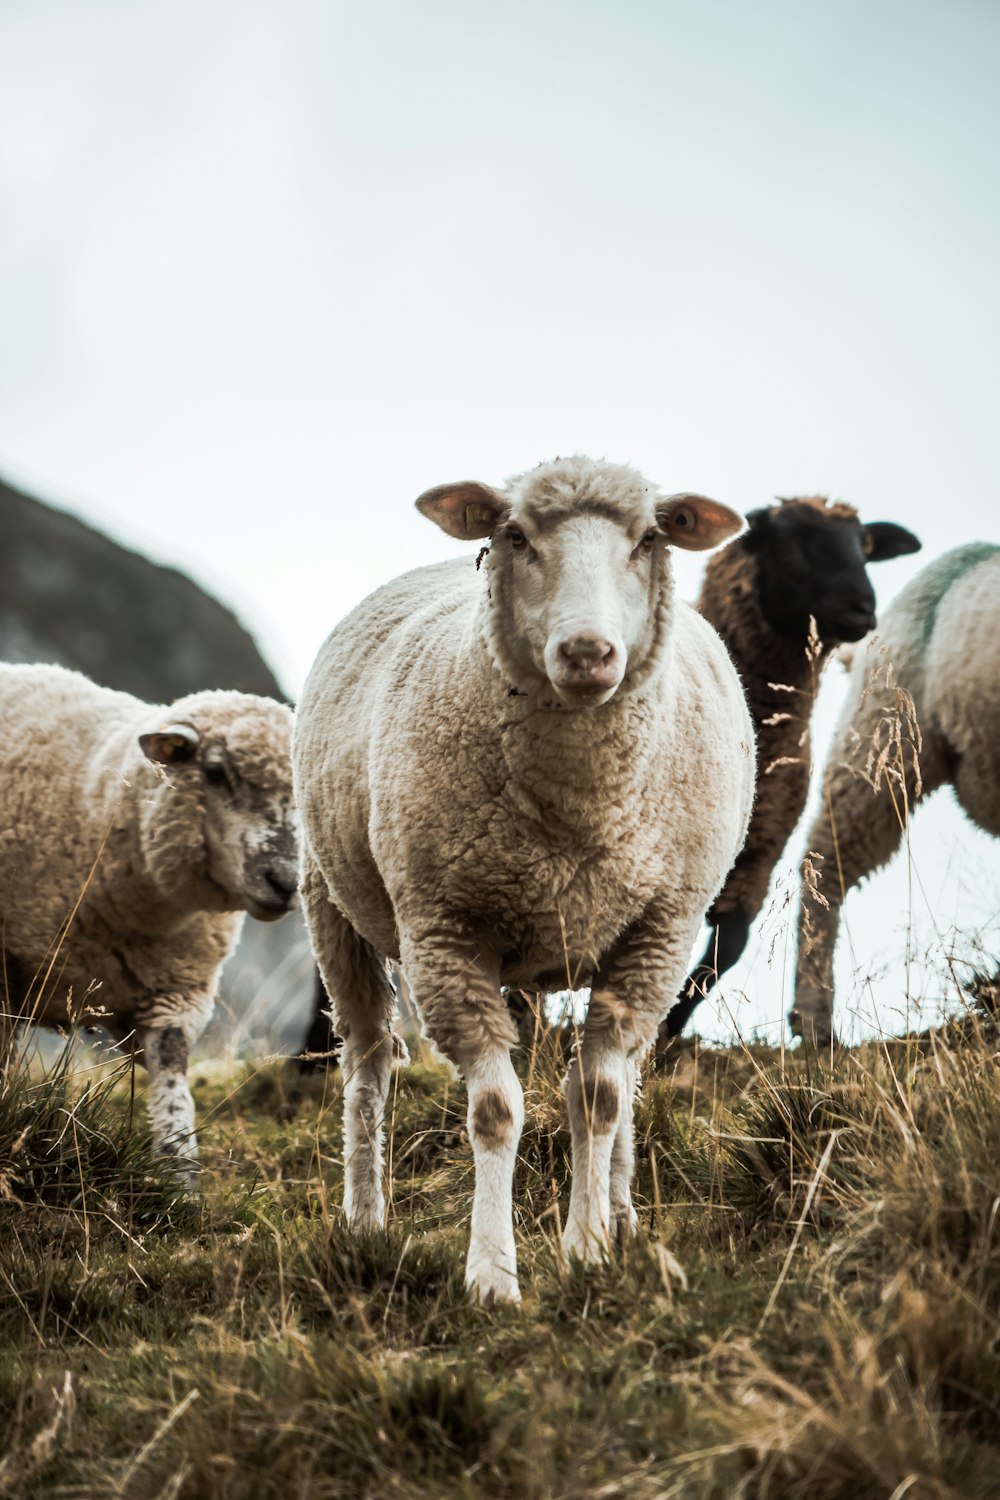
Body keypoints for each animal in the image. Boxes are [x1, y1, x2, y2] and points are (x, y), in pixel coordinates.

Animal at [293, 453, 755, 1302]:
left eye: (650, 539)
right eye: (516, 537)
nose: (587, 653)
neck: (579, 807)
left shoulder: (659, 932)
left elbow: (601, 1096)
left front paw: (590, 1248)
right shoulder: (445, 934)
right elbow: (496, 1110)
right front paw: (492, 1275)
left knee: (626, 1074)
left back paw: (623, 1211)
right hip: (332, 902)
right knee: (368, 1062)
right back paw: (366, 1218)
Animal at [656, 495, 923, 1044]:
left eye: (866, 544)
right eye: (793, 537)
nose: (863, 606)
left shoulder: (758, 855)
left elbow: (725, 951)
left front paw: (665, 1037)